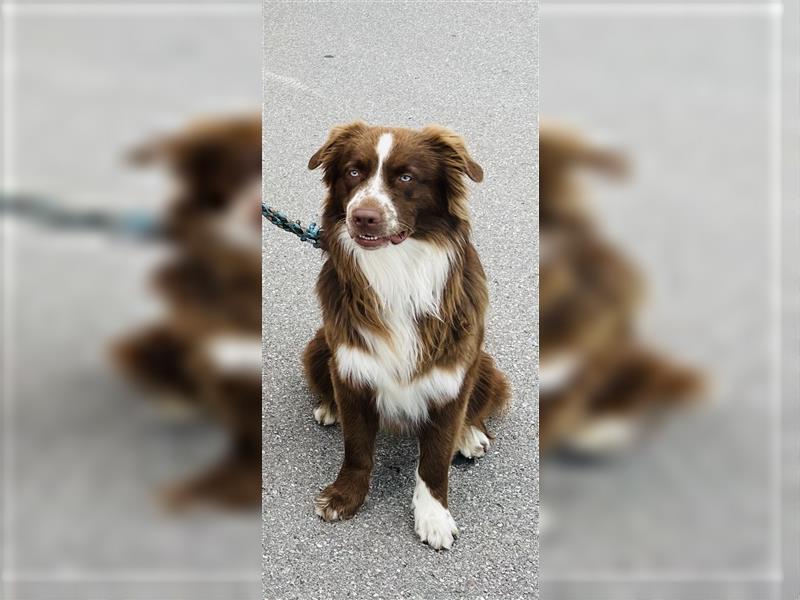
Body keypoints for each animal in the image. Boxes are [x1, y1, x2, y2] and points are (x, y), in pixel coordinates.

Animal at [300, 120, 512, 548]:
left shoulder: (451, 375)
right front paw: (345, 496)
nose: (363, 216)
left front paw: (433, 516)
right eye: (353, 172)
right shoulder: (352, 364)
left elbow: (435, 460)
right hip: (319, 346)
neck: (396, 269)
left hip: (483, 363)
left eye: (406, 177)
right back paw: (329, 407)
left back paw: (470, 435)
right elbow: (357, 447)